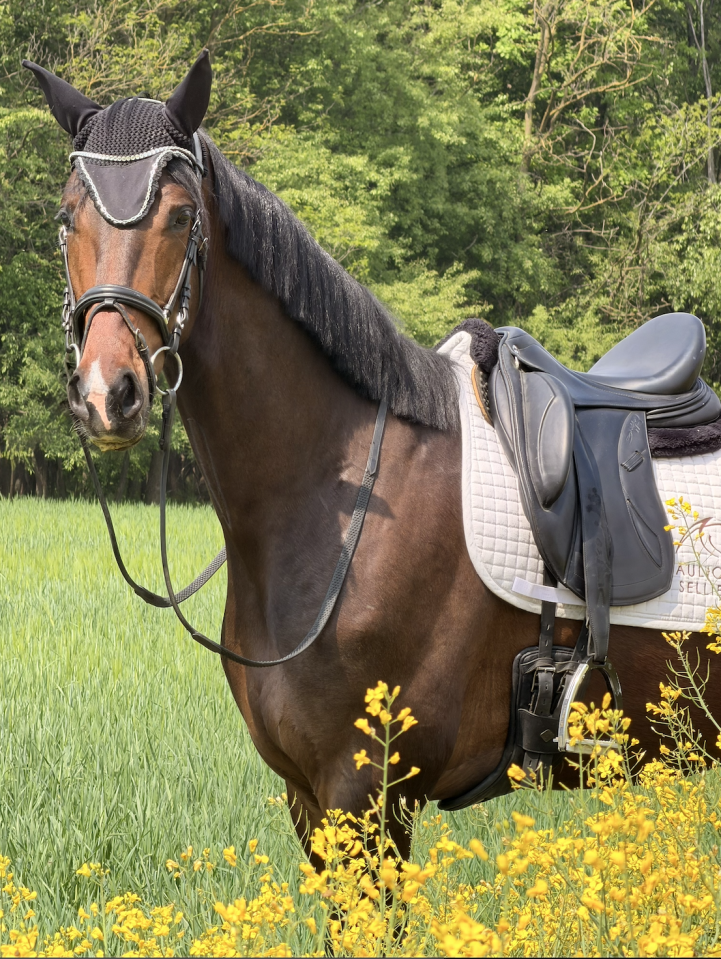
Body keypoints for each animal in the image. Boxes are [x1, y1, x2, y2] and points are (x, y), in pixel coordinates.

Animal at [25, 52, 721, 858]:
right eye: (66, 217)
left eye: (180, 215)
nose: (107, 394)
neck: (340, 493)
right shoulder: (309, 800)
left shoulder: (369, 799)